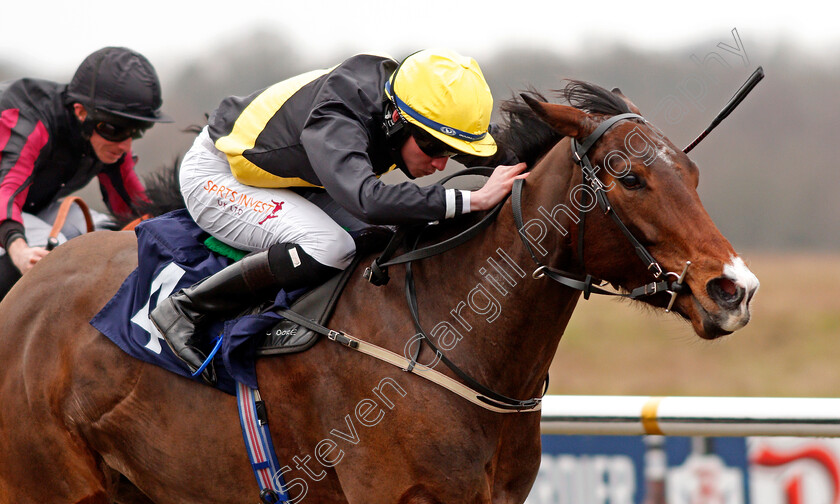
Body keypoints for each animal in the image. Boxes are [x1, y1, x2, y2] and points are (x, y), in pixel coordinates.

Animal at [0, 80, 760, 502]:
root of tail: (27, 288)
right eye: (630, 178)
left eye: (691, 173)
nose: (734, 289)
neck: (450, 340)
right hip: (52, 486)